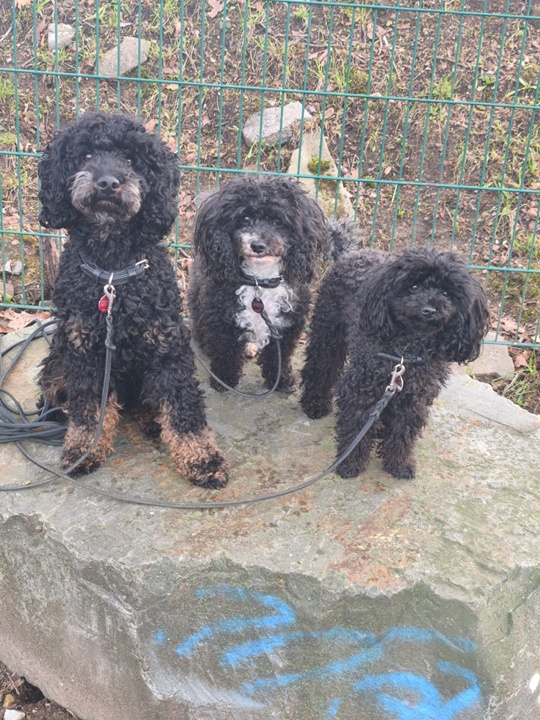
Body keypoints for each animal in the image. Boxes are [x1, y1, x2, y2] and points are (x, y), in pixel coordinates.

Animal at [37, 111, 228, 488]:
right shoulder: (84, 351)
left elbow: (183, 407)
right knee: (56, 392)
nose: (108, 183)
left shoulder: (167, 347)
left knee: (150, 401)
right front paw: (83, 449)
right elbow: (87, 408)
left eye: (130, 159)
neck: (113, 271)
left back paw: (153, 419)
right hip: (58, 356)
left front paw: (202, 459)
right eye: (85, 156)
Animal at [188, 175, 329, 393]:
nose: (257, 245)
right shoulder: (221, 320)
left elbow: (278, 357)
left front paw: (280, 380)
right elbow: (225, 352)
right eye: (245, 218)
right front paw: (224, 379)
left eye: (278, 221)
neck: (259, 283)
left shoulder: (286, 325)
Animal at [300, 246, 490, 479]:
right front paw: (350, 463)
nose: (429, 310)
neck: (407, 350)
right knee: (320, 366)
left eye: (447, 293)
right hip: (328, 331)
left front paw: (399, 464)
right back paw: (314, 403)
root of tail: (352, 252)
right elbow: (356, 426)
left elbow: (403, 432)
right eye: (413, 286)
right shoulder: (361, 389)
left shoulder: (414, 398)